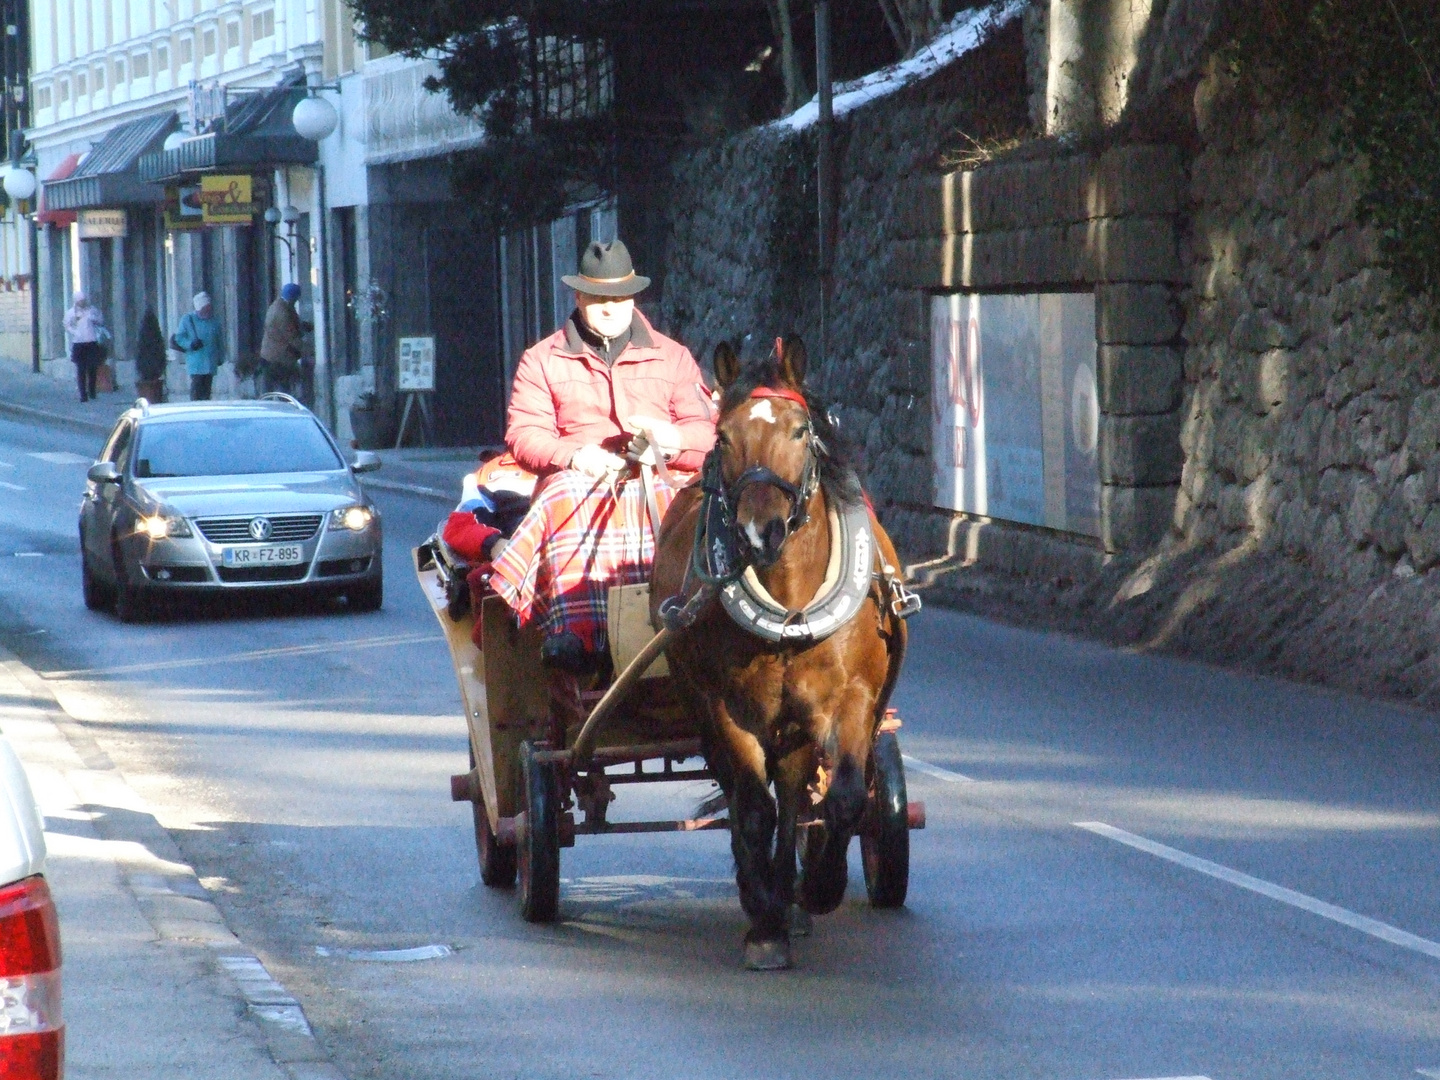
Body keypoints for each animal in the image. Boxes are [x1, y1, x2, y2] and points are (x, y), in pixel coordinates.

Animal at [656, 338, 910, 973]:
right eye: (722, 437)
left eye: (799, 431)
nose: (759, 530)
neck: (792, 608)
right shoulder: (726, 708)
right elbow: (751, 809)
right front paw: (763, 918)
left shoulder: (851, 701)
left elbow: (843, 798)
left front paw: (817, 888)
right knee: (749, 795)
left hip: (797, 723)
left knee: (796, 790)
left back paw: (795, 896)